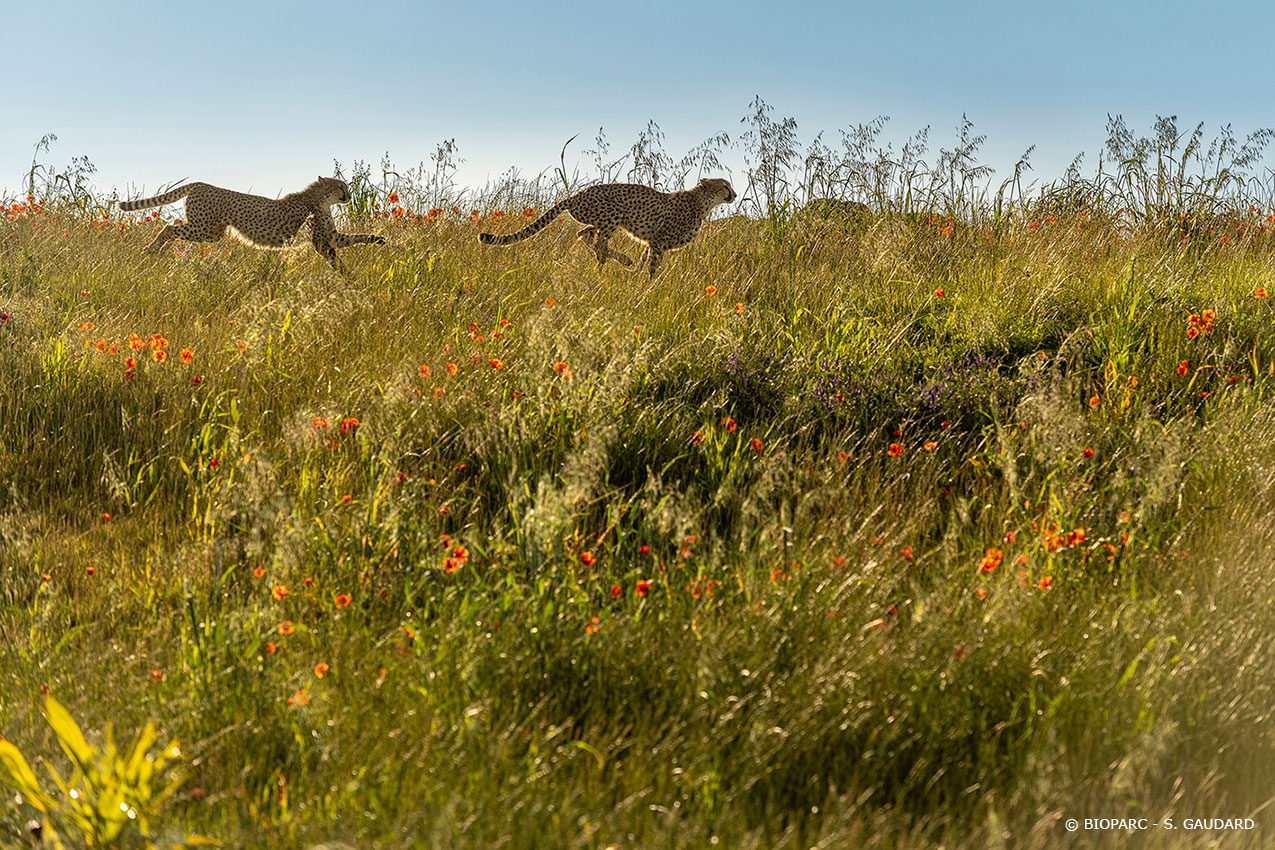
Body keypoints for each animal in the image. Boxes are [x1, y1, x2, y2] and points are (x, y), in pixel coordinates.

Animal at [122, 175, 385, 272]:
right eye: (340, 187)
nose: (348, 196)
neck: (319, 200)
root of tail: (200, 183)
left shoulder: (331, 236)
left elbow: (355, 238)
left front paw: (377, 239)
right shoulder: (320, 240)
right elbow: (334, 258)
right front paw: (346, 275)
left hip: (210, 232)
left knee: (175, 223)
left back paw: (161, 251)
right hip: (204, 229)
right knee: (169, 227)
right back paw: (151, 250)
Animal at [479, 178, 739, 277]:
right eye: (725, 185)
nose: (735, 194)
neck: (703, 202)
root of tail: (576, 194)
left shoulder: (652, 241)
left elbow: (645, 260)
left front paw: (635, 277)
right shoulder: (658, 241)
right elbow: (652, 267)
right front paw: (649, 283)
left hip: (599, 220)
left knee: (584, 234)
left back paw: (617, 260)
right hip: (612, 215)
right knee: (597, 242)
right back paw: (618, 259)